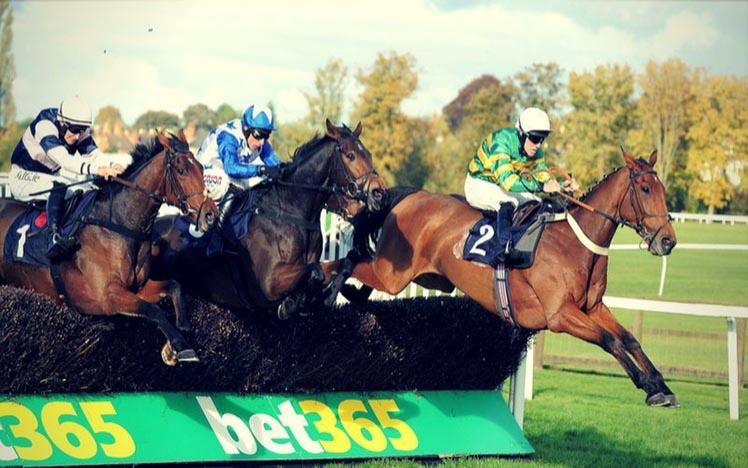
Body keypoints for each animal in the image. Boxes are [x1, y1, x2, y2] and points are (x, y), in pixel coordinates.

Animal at [0, 132, 219, 366]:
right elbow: (154, 310)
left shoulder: (138, 288)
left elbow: (174, 285)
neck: (118, 225)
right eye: (182, 170)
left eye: (202, 169)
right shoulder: (105, 297)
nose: (211, 216)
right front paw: (181, 346)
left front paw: (182, 330)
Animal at [150, 119, 388, 318]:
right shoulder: (268, 284)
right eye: (350, 155)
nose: (378, 193)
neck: (293, 212)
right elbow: (315, 272)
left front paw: (324, 297)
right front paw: (293, 303)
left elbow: (340, 264)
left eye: (368, 154)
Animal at [324, 149, 680, 406]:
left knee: (361, 277)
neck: (574, 244)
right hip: (393, 274)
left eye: (663, 189)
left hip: (426, 277)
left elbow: (629, 338)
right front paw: (649, 385)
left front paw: (660, 385)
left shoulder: (592, 308)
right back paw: (326, 286)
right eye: (645, 189)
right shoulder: (560, 315)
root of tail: (412, 196)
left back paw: (347, 292)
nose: (668, 241)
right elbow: (610, 340)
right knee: (344, 262)